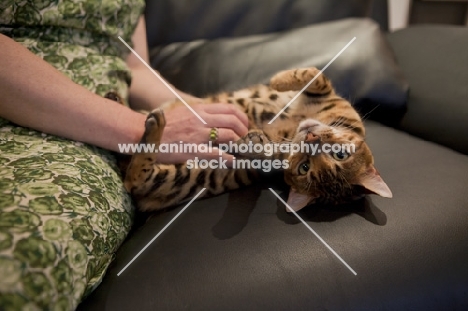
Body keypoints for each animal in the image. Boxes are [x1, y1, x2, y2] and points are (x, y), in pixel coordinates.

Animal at [123, 67, 392, 213]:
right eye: (340, 154)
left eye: (304, 167)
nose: (311, 138)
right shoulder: (327, 93)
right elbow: (314, 75)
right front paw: (277, 82)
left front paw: (256, 144)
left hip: (185, 176)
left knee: (135, 177)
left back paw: (155, 124)